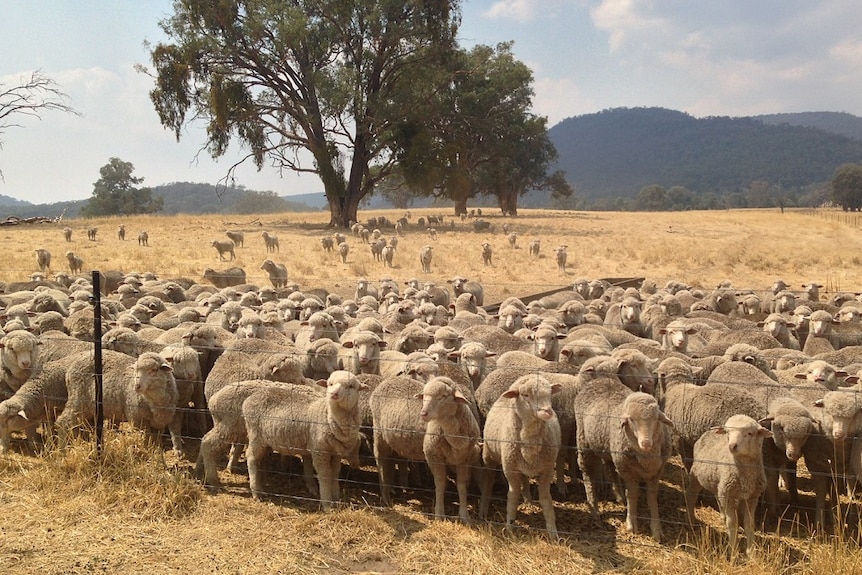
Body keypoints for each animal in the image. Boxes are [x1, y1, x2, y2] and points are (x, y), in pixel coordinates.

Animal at [243, 372, 368, 510]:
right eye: (330, 384)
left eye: (351, 386)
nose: (333, 394)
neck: (328, 417)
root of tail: (249, 399)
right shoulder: (320, 452)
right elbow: (325, 474)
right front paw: (327, 504)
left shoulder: (336, 453)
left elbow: (335, 473)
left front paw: (336, 498)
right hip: (256, 436)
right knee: (251, 458)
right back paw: (255, 492)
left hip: (266, 442)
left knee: (259, 460)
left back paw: (261, 487)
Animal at [418, 376, 486, 524]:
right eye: (424, 395)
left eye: (443, 396)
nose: (423, 413)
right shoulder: (434, 457)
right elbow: (440, 484)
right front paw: (439, 514)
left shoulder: (464, 460)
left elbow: (461, 486)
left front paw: (464, 515)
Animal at [476, 374, 564, 540]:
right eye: (525, 395)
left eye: (549, 393)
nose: (548, 411)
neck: (530, 439)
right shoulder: (510, 470)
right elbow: (512, 496)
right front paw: (510, 527)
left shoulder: (547, 470)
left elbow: (546, 499)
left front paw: (553, 531)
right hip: (489, 457)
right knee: (488, 481)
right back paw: (483, 508)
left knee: (525, 479)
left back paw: (528, 499)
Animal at [684, 416, 772, 556]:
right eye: (728, 432)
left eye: (749, 433)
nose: (732, 446)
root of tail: (709, 431)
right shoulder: (730, 496)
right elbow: (733, 523)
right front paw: (733, 551)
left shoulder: (751, 497)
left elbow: (749, 524)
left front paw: (751, 552)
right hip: (696, 476)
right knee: (690, 495)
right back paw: (691, 520)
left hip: (719, 483)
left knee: (717, 496)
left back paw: (722, 516)